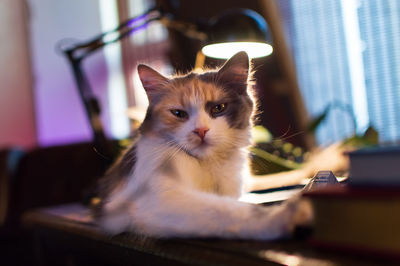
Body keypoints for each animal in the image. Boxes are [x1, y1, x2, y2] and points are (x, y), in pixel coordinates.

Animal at [95, 51, 308, 239]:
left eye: (218, 108)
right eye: (179, 114)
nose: (201, 131)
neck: (207, 165)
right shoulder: (158, 198)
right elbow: (231, 210)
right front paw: (286, 215)